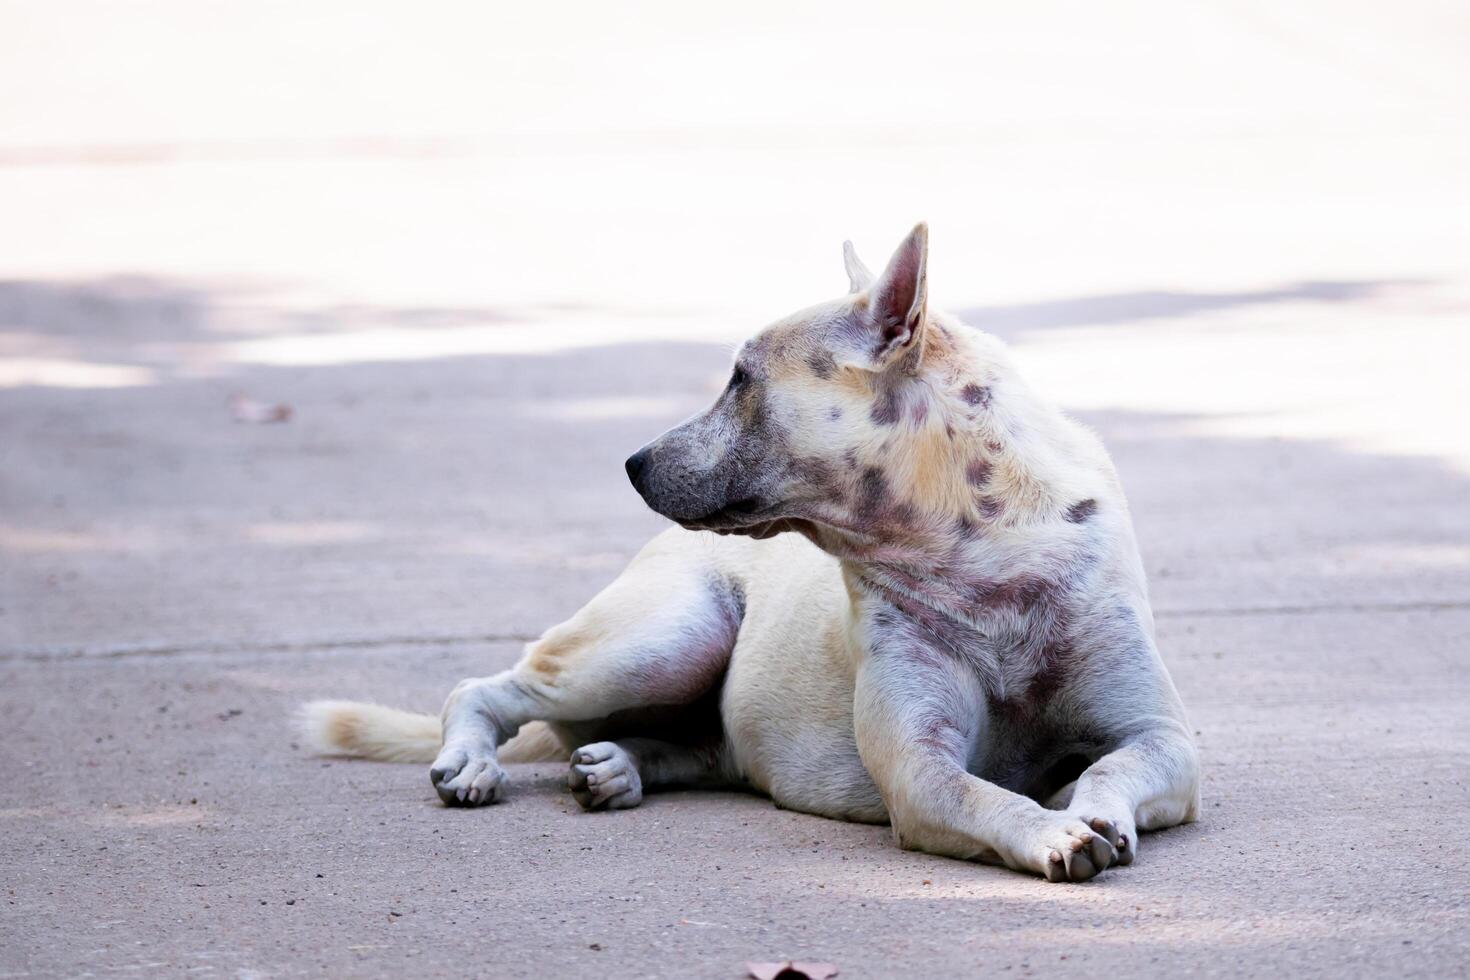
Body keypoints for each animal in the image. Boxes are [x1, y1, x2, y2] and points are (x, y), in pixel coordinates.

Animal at [304, 226, 1199, 887]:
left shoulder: (1164, 741)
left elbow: (1110, 768)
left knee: (699, 747)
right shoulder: (921, 769)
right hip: (664, 638)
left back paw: (619, 768)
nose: (631, 463)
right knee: (486, 688)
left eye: (740, 378)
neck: (977, 555)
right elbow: (987, 796)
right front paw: (1053, 833)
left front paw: (1089, 808)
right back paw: (470, 760)